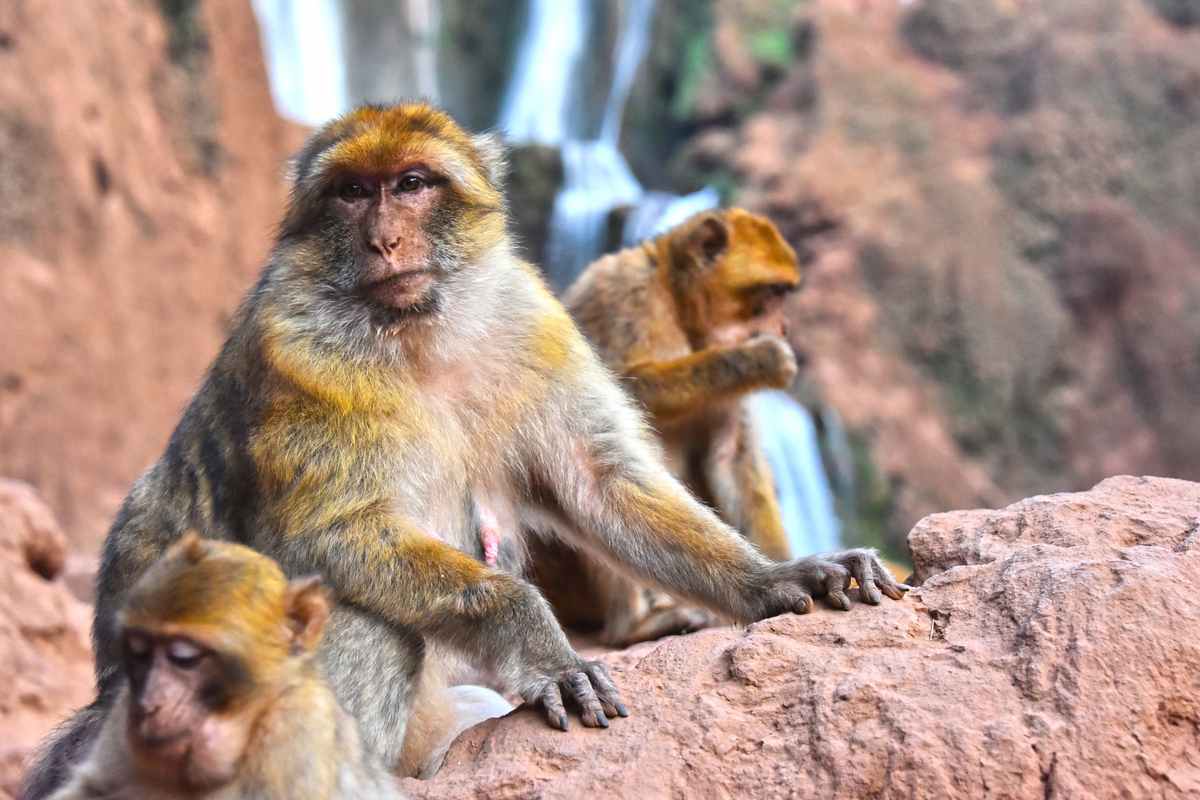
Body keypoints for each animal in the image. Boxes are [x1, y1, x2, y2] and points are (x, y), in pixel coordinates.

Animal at [527, 208, 817, 646]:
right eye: (770, 293)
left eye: (784, 294)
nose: (784, 328)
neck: (679, 307)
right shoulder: (624, 292)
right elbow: (609, 392)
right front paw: (759, 358)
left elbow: (733, 458)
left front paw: (783, 572)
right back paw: (632, 627)